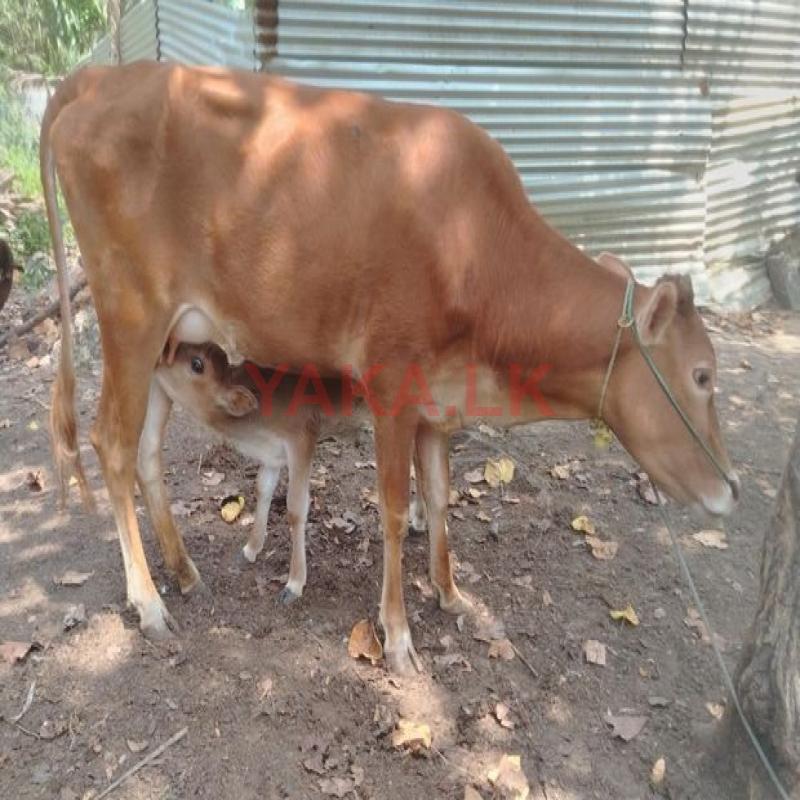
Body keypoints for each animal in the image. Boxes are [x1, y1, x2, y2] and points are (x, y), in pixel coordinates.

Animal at [41, 61, 738, 674]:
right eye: (703, 375)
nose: (730, 489)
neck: (479, 250)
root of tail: (104, 76)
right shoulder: (390, 384)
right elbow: (398, 512)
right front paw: (398, 636)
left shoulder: (436, 403)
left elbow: (441, 499)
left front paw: (452, 594)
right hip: (129, 316)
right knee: (112, 445)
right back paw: (149, 602)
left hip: (166, 340)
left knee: (148, 452)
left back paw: (184, 573)